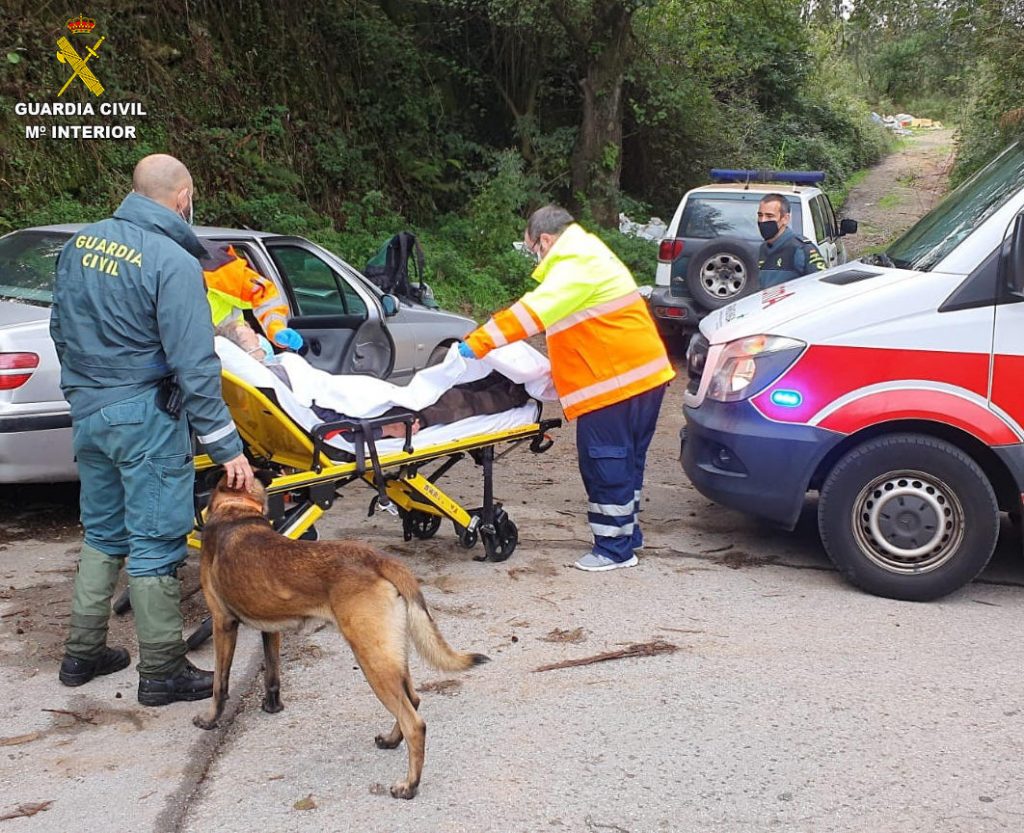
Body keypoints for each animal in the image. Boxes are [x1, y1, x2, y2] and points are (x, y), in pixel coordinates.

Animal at [196, 471, 491, 795]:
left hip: (372, 659)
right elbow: (272, 675)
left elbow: (220, 684)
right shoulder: (270, 629)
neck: (236, 509)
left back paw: (409, 785)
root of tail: (380, 560)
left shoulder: (222, 623)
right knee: (413, 700)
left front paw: (210, 719)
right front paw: (272, 706)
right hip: (390, 655)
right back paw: (391, 741)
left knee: (415, 722)